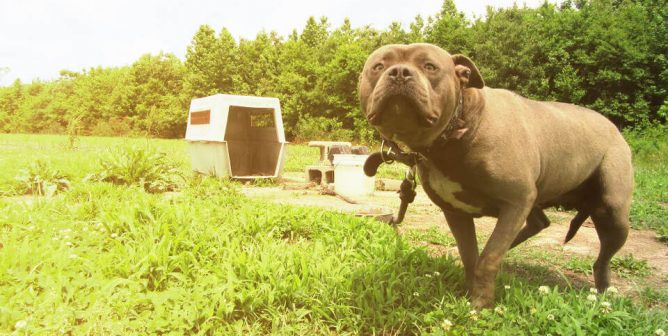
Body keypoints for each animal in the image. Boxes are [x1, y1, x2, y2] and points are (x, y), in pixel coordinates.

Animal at [358, 43, 636, 308]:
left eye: (430, 66)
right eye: (378, 66)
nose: (399, 72)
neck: (456, 130)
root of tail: (613, 126)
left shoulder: (516, 201)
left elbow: (488, 258)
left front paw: (481, 305)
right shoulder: (457, 212)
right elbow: (471, 256)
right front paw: (473, 293)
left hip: (613, 211)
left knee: (601, 258)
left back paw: (604, 294)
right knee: (539, 223)